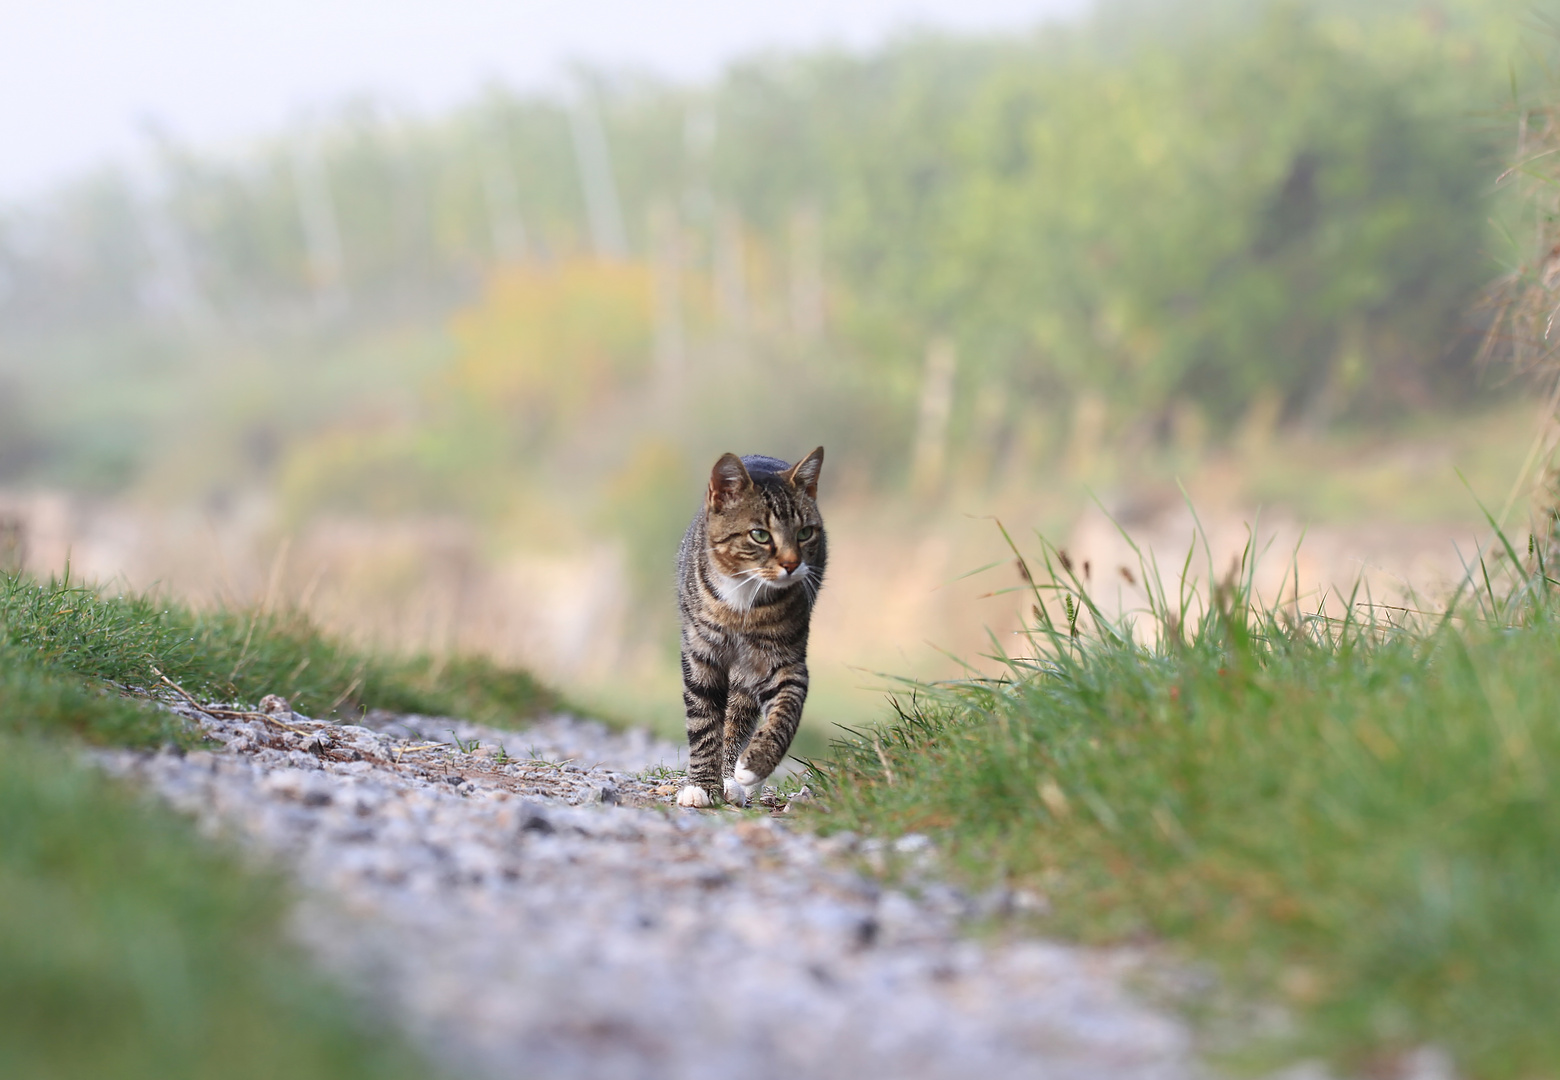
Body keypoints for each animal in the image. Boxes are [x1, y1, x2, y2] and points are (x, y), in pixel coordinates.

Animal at [673, 443, 829, 805]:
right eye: (760, 535)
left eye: (805, 533)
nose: (792, 564)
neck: (742, 599)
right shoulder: (700, 655)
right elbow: (704, 723)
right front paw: (702, 785)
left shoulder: (785, 661)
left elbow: (785, 712)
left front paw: (754, 767)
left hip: (748, 671)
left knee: (739, 713)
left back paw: (734, 778)